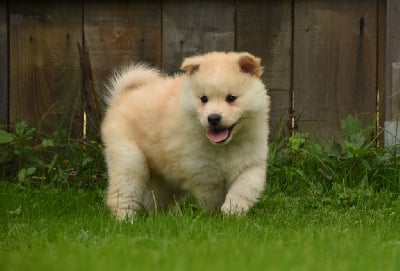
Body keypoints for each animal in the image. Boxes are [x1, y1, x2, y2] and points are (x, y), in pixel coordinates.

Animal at [101, 51, 270, 221]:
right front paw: (216, 217)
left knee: (155, 199)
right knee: (123, 194)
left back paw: (159, 218)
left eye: (231, 98)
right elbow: (213, 198)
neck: (225, 146)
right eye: (204, 99)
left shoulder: (252, 162)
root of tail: (121, 97)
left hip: (162, 178)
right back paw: (126, 220)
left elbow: (245, 187)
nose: (213, 118)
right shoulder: (203, 173)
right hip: (129, 159)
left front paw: (234, 211)